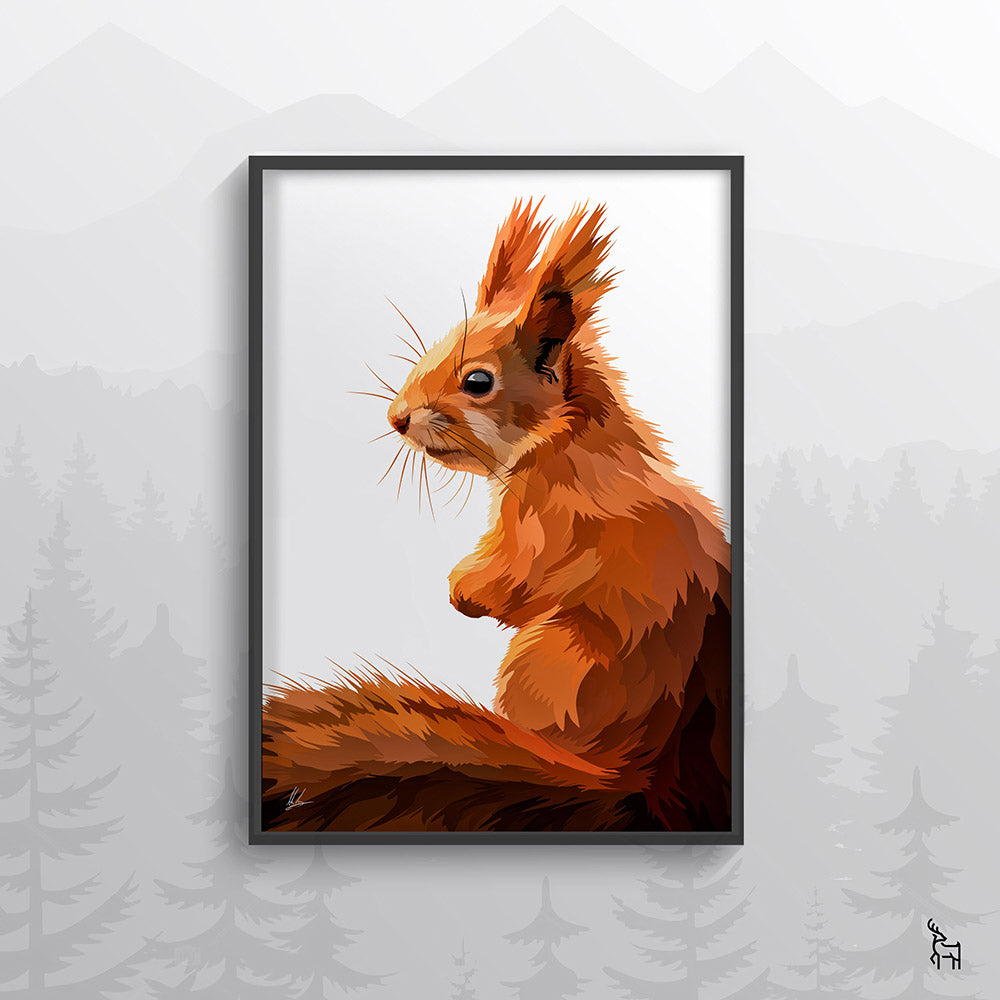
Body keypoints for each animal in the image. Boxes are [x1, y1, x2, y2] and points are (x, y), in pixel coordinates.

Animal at [262, 199, 733, 833]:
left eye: (477, 381)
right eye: (432, 349)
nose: (396, 418)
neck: (567, 442)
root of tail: (621, 777)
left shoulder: (539, 525)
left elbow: (513, 581)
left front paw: (463, 589)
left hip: (546, 659)